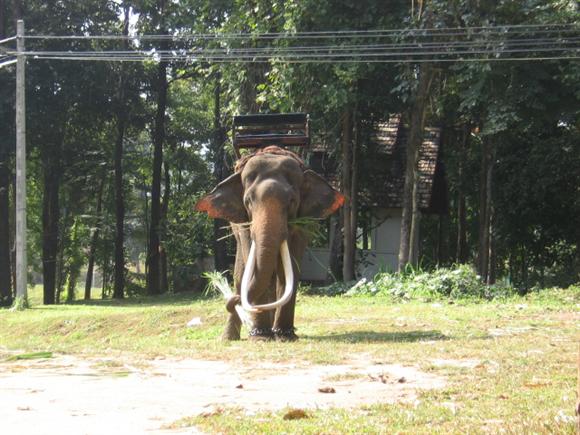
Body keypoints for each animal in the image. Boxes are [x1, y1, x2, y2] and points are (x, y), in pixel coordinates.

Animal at [196, 145, 344, 341]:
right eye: (248, 201)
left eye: (292, 201)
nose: (235, 299)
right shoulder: (244, 223)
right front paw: (261, 337)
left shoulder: (302, 225)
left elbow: (289, 271)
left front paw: (285, 336)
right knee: (240, 274)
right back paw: (229, 337)